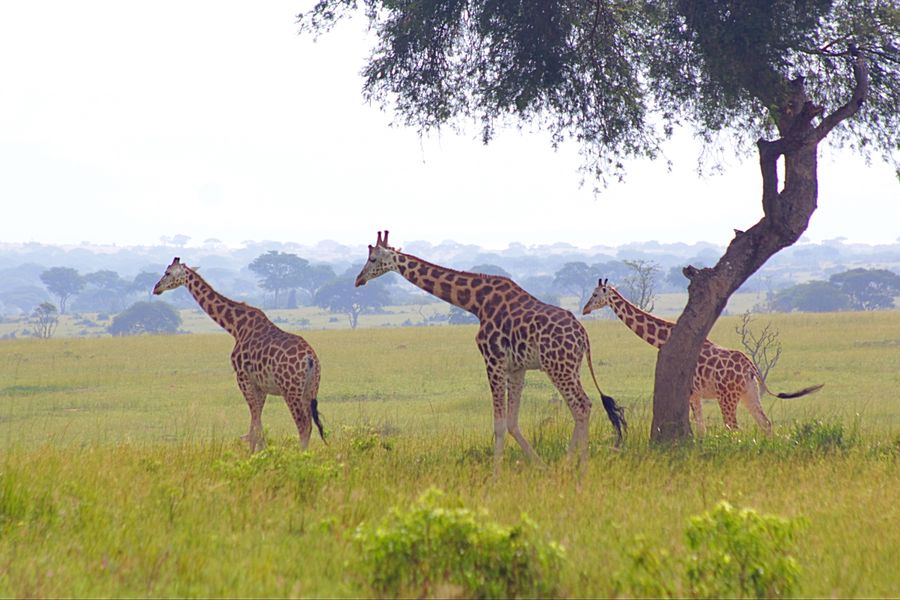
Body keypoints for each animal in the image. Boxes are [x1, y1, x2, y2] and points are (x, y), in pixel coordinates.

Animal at [152, 257, 324, 452]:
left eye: (167, 273)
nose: (156, 288)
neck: (235, 326)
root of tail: (310, 359)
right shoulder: (259, 384)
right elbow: (256, 424)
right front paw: (258, 452)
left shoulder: (242, 377)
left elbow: (255, 424)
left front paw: (254, 455)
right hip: (310, 389)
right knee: (309, 424)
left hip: (290, 390)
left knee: (303, 424)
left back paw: (301, 455)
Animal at [355, 231, 626, 466]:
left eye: (373, 259)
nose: (358, 280)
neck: (476, 302)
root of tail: (583, 336)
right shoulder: (517, 368)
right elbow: (512, 422)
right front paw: (540, 466)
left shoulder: (493, 360)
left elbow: (498, 425)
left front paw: (495, 476)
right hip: (570, 367)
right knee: (583, 406)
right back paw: (568, 463)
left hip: (558, 367)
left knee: (581, 405)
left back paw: (579, 466)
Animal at [582, 278, 823, 434]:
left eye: (594, 294)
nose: (584, 309)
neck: (664, 338)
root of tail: (751, 367)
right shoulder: (696, 395)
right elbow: (701, 430)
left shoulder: (690, 393)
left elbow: (700, 428)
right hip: (749, 393)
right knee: (765, 423)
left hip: (728, 396)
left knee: (734, 427)